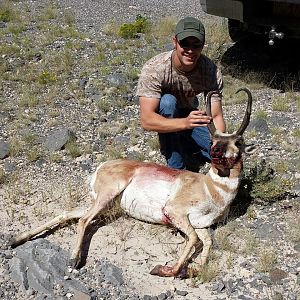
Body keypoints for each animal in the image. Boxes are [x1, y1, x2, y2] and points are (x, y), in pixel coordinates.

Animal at [10, 88, 254, 278]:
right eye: (213, 140)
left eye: (238, 142)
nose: (216, 151)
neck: (212, 189)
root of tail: (103, 165)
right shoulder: (174, 212)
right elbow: (194, 239)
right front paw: (164, 269)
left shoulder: (200, 224)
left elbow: (207, 242)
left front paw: (194, 269)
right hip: (108, 195)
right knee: (83, 220)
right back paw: (73, 260)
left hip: (106, 206)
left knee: (68, 214)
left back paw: (16, 239)